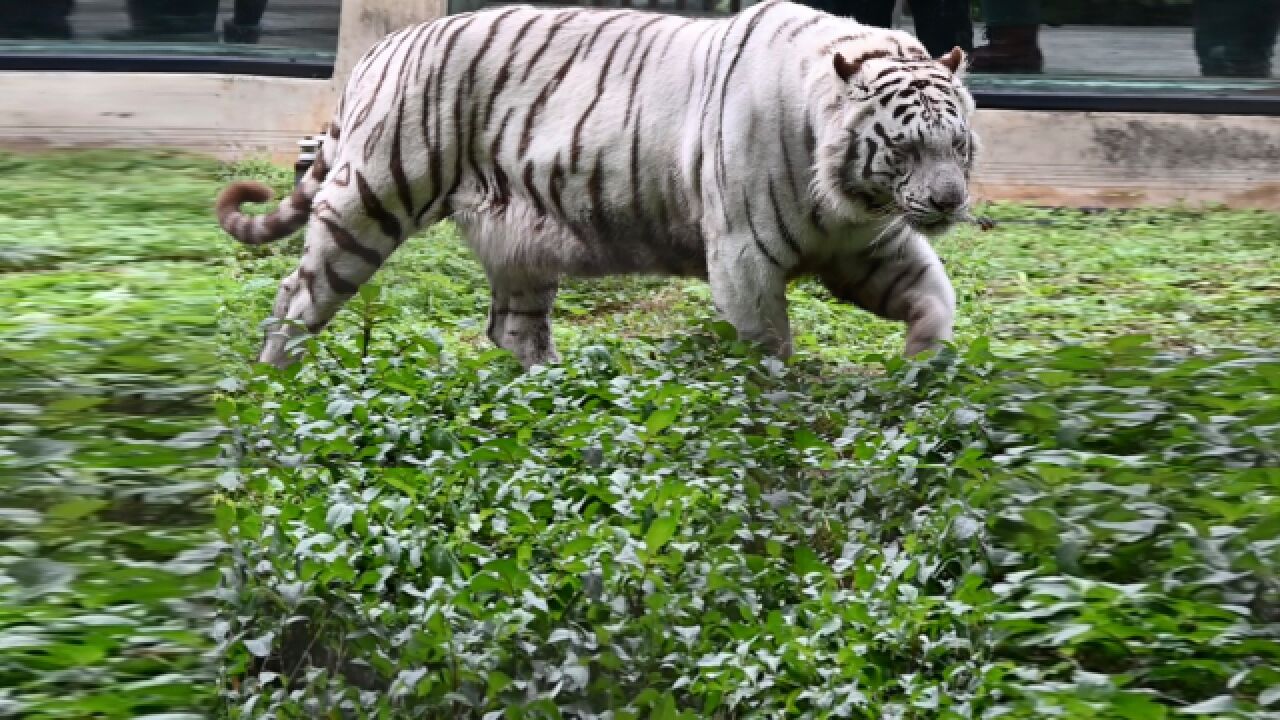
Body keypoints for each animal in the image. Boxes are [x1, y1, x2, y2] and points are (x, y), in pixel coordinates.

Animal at [220, 0, 972, 366]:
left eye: (958, 144)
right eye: (904, 149)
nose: (949, 201)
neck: (847, 194)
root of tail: (381, 46)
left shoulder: (866, 243)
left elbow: (934, 296)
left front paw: (923, 368)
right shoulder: (745, 255)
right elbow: (767, 344)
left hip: (519, 239)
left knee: (511, 328)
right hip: (373, 196)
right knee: (296, 294)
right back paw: (275, 379)